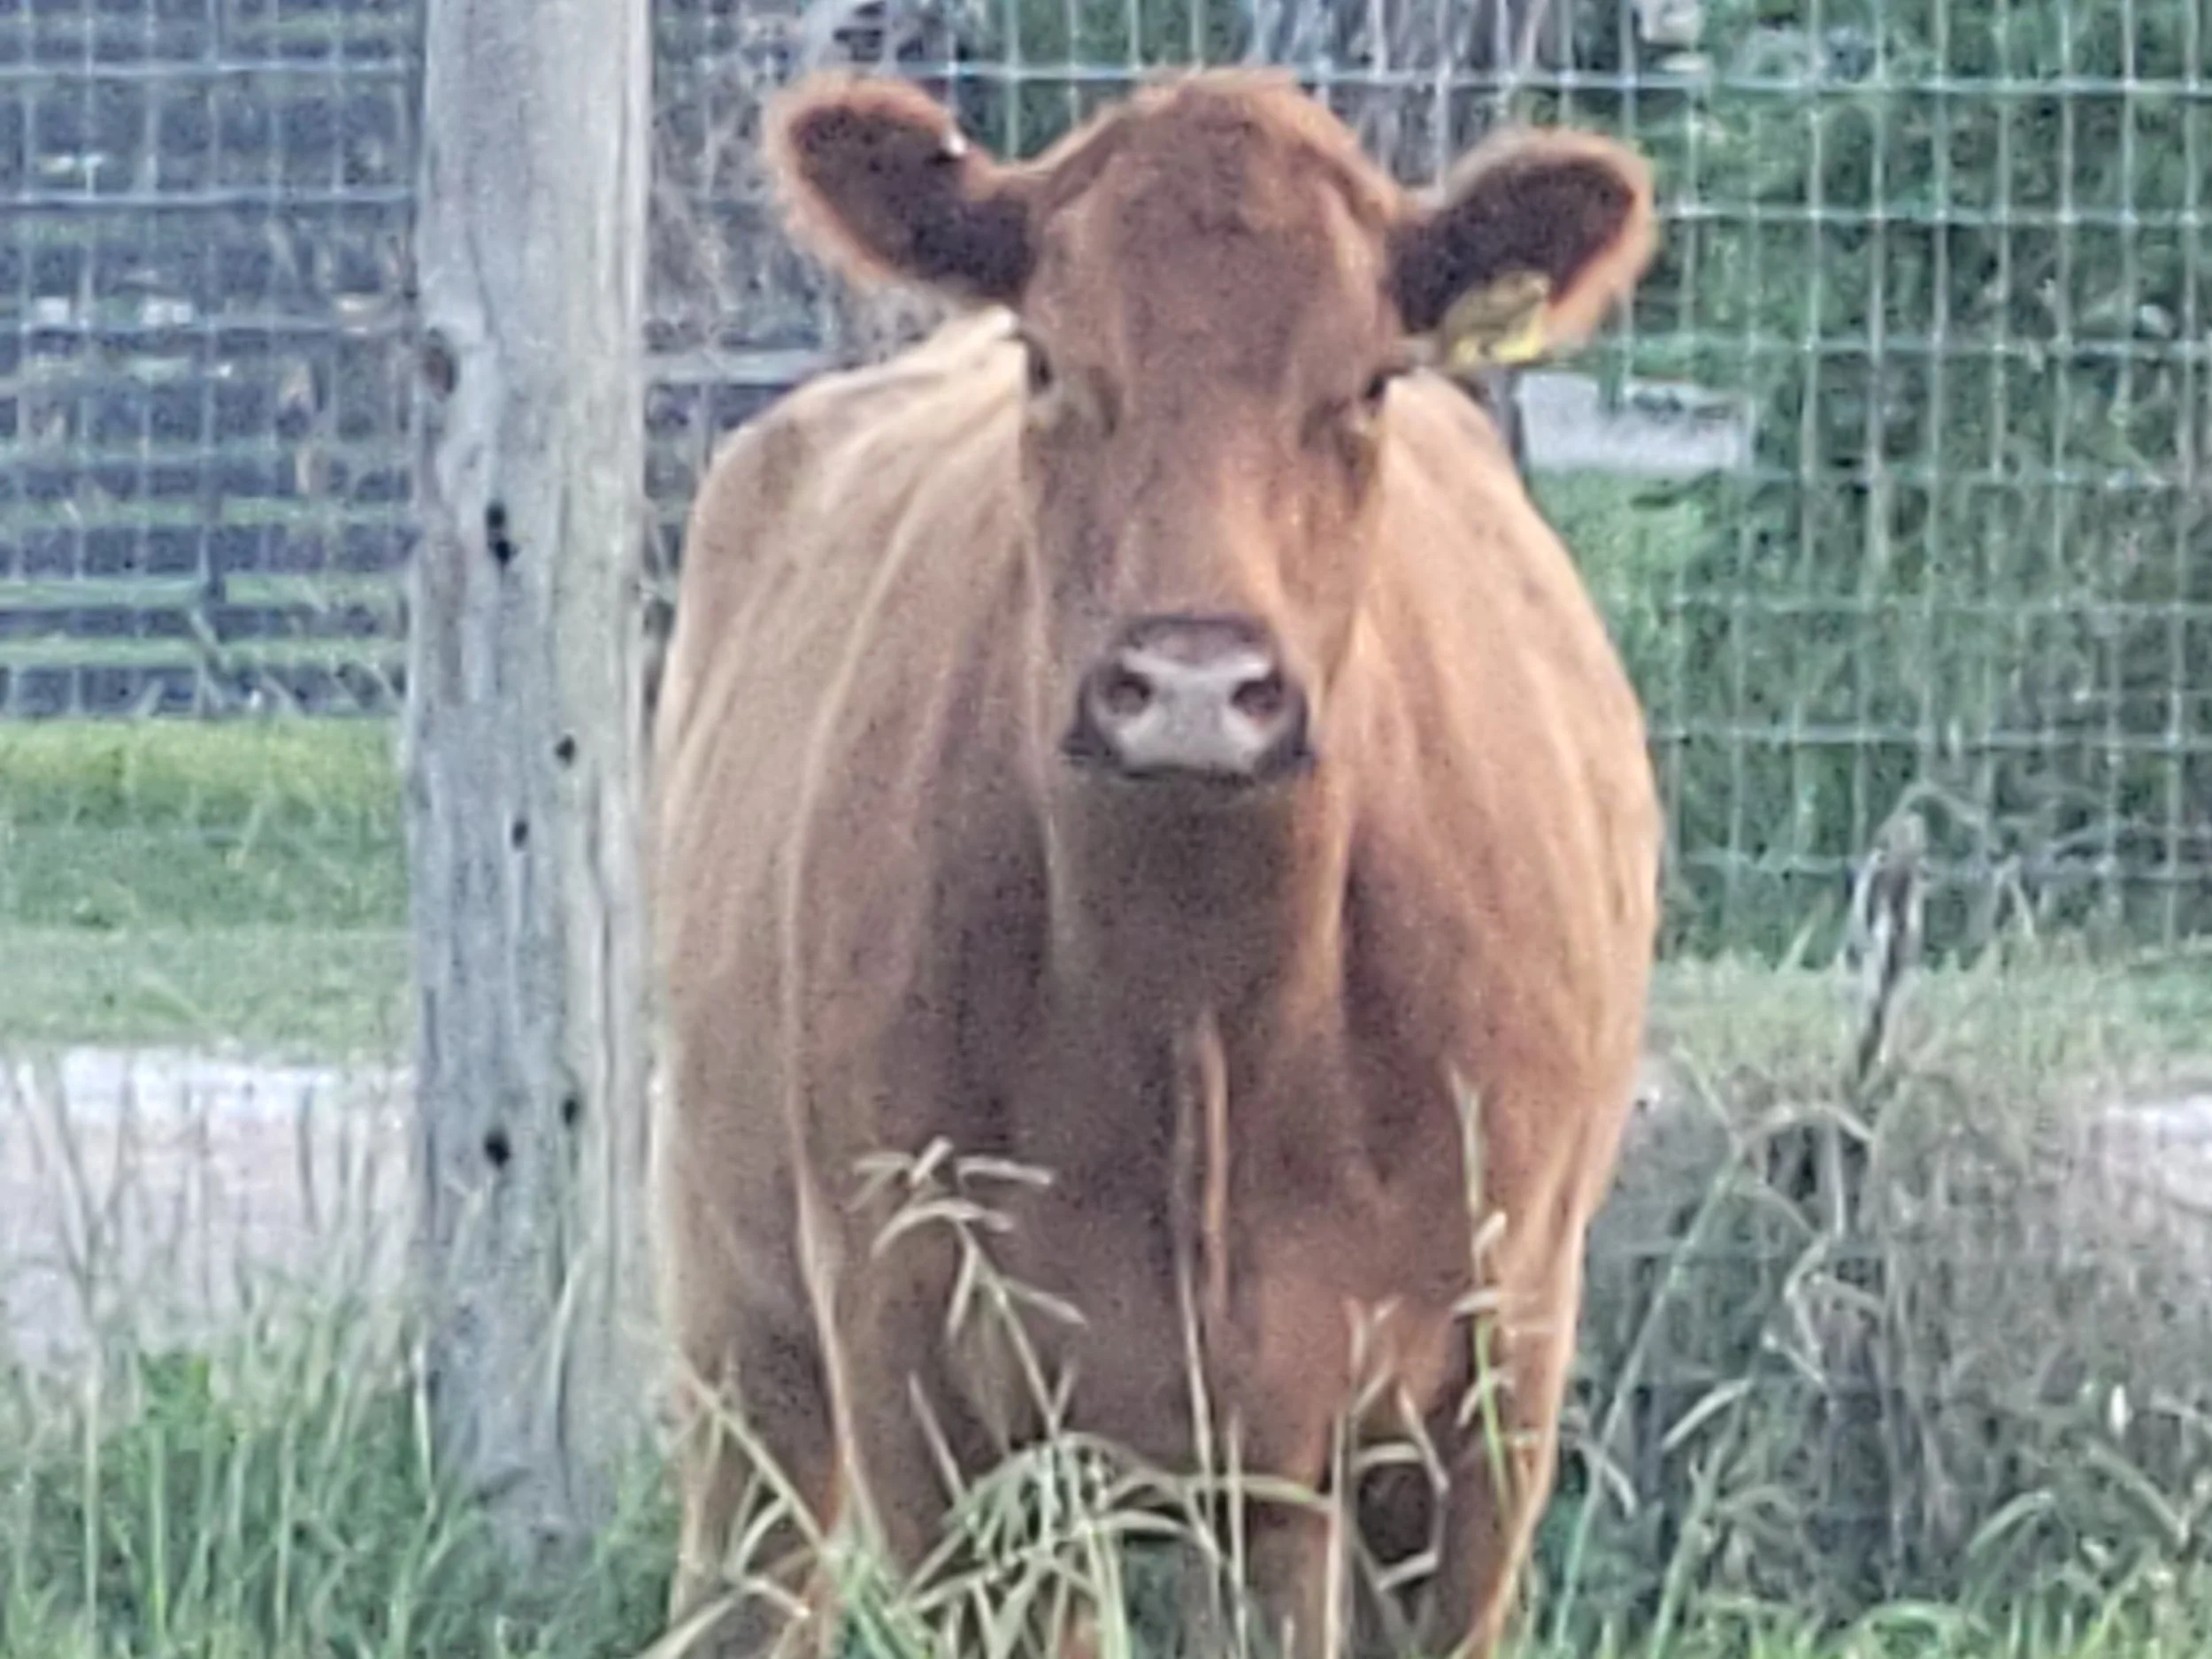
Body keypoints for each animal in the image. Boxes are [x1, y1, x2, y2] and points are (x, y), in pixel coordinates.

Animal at [647, 67, 1662, 1659]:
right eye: (1050, 360)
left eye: (1367, 382)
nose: (1193, 684)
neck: (1207, 998)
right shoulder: (925, 1365)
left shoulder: (1488, 1384)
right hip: (737, 1303)